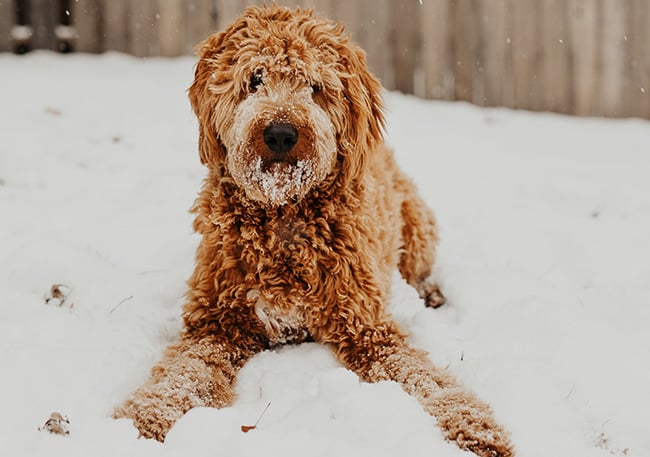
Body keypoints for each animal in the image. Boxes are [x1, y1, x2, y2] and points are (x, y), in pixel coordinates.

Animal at [114, 6, 512, 456]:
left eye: (315, 86)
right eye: (255, 78)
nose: (280, 134)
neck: (284, 213)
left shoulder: (367, 329)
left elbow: (422, 379)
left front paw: (474, 426)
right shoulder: (215, 323)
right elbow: (182, 375)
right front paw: (143, 419)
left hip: (417, 226)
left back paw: (430, 292)